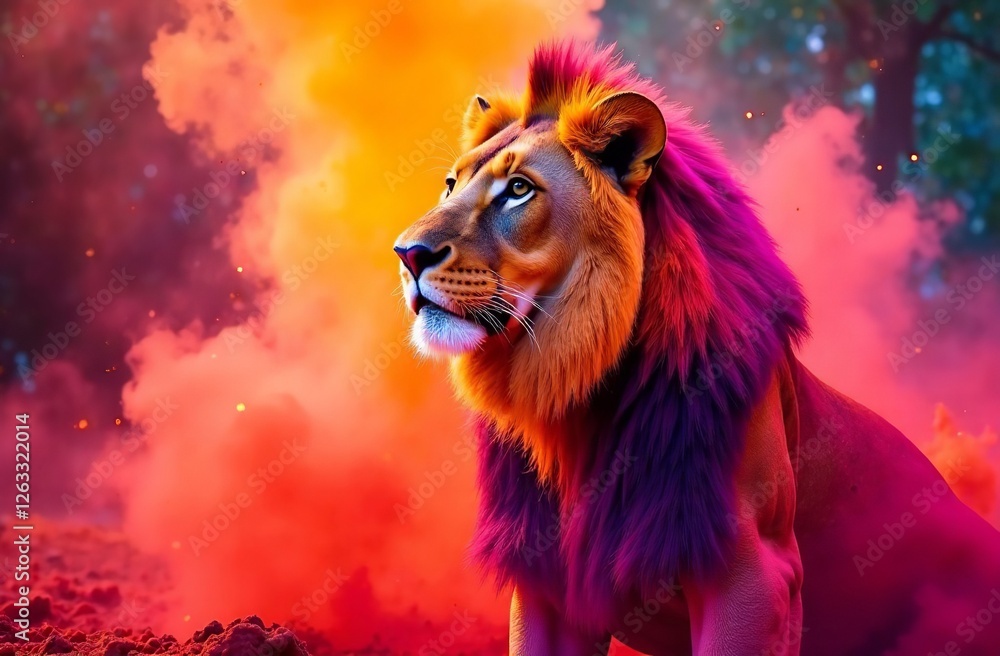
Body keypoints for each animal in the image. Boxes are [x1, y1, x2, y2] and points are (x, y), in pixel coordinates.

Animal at [393, 41, 1000, 655]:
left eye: (518, 189)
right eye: (451, 185)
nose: (407, 253)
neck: (577, 397)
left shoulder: (753, 572)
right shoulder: (547, 584)